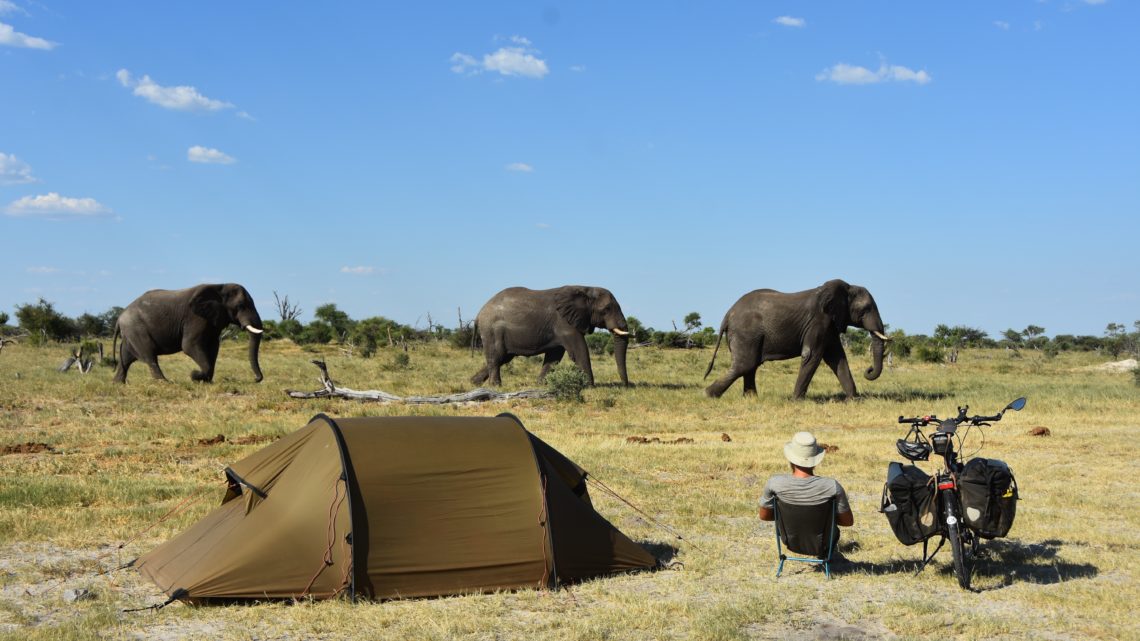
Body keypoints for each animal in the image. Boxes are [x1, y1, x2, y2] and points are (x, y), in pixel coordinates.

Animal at [115, 281, 266, 380]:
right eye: (240, 306)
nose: (256, 379)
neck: (220, 286)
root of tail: (119, 317)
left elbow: (213, 348)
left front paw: (205, 381)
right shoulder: (195, 318)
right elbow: (189, 346)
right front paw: (195, 375)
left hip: (130, 333)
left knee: (126, 359)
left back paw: (117, 384)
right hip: (136, 329)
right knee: (149, 355)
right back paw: (165, 383)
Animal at [469, 284, 633, 383]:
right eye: (606, 309)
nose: (626, 385)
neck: (585, 288)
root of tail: (479, 314)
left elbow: (554, 357)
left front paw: (540, 384)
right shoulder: (564, 323)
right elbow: (579, 351)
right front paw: (589, 386)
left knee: (503, 357)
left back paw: (474, 382)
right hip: (491, 330)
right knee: (496, 357)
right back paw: (495, 386)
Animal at [702, 277, 889, 396]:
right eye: (866, 309)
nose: (868, 370)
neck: (846, 288)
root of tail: (728, 313)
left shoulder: (829, 326)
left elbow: (837, 357)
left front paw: (854, 400)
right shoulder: (819, 321)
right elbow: (811, 355)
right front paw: (796, 400)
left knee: (749, 366)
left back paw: (751, 399)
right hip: (745, 333)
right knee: (745, 364)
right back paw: (708, 395)